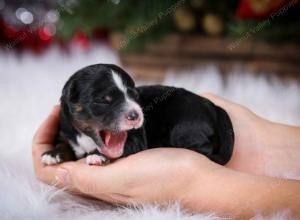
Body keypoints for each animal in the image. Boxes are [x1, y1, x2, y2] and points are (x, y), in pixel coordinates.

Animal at [41, 64, 234, 166]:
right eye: (104, 100)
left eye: (134, 95)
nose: (135, 115)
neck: (87, 138)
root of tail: (214, 106)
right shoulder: (66, 130)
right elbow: (63, 143)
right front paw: (52, 154)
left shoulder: (136, 139)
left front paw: (97, 155)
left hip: (184, 128)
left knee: (204, 147)